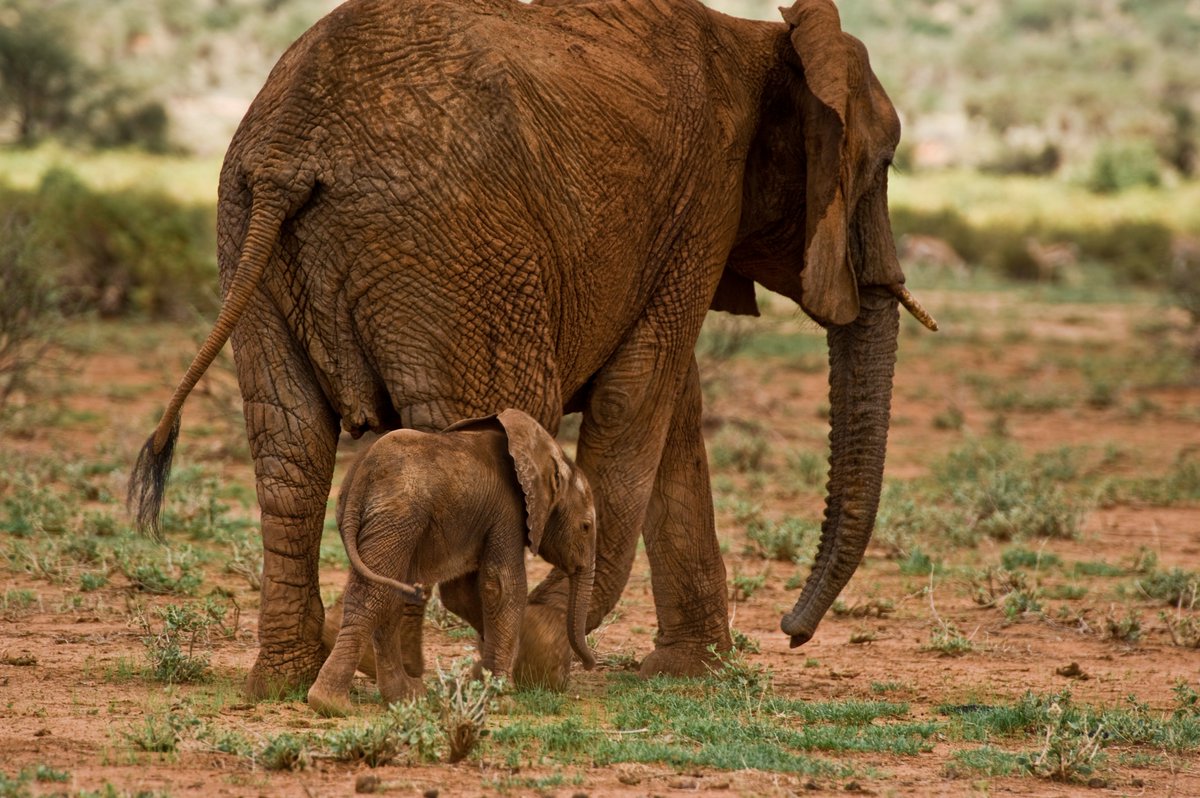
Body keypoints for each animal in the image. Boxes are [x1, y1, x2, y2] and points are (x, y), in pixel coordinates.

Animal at [307, 408, 597, 716]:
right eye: (586, 527)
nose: (590, 665)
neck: (546, 452)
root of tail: (362, 471)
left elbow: (463, 594)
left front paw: (483, 679)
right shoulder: (508, 510)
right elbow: (503, 587)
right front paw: (504, 700)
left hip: (378, 519)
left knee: (389, 594)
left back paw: (406, 698)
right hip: (398, 516)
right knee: (374, 595)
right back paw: (332, 704)